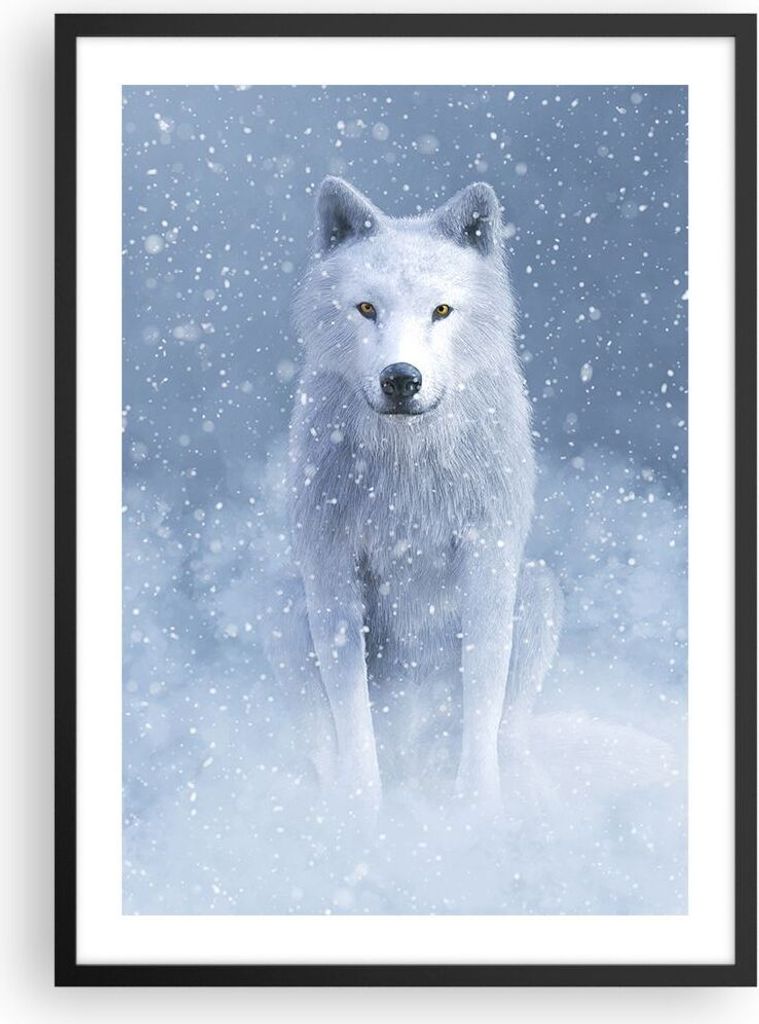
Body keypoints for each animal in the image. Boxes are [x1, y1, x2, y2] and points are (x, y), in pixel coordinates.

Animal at [273, 177, 561, 815]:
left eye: (441, 310)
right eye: (366, 308)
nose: (401, 379)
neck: (406, 468)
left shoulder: (487, 559)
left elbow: (483, 693)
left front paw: (476, 809)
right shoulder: (331, 567)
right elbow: (352, 709)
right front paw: (361, 812)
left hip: (537, 591)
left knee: (510, 728)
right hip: (286, 610)